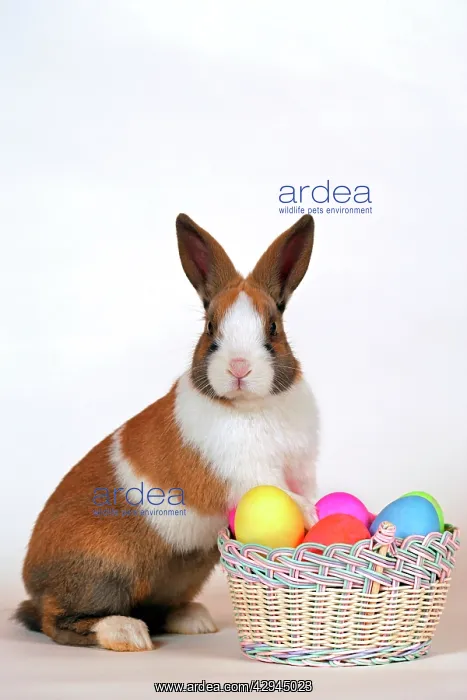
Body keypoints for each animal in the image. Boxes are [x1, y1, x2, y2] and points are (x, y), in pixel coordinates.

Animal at [15, 213, 319, 651]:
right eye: (210, 328)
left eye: (273, 328)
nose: (239, 368)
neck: (250, 406)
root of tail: (32, 584)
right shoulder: (246, 473)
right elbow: (276, 490)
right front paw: (311, 513)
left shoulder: (301, 467)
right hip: (105, 576)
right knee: (57, 621)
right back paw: (126, 633)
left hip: (184, 571)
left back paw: (195, 620)